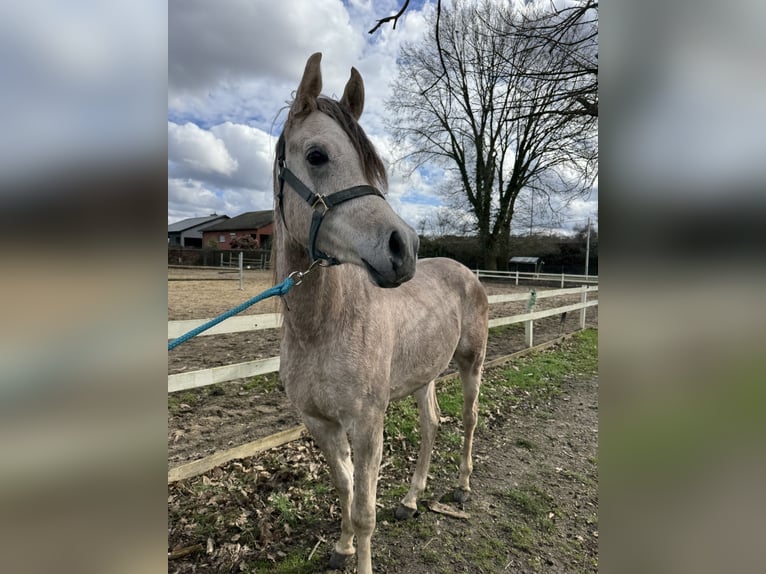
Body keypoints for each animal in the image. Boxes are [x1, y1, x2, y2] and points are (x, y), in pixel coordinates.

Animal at [273, 52, 488, 574]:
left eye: (373, 167)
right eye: (317, 155)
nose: (403, 247)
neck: (322, 328)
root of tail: (466, 272)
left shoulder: (368, 424)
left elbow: (364, 507)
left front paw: (360, 553)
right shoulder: (321, 424)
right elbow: (345, 487)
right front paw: (342, 547)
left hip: (471, 364)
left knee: (469, 419)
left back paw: (463, 486)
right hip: (424, 374)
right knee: (432, 423)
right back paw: (412, 499)